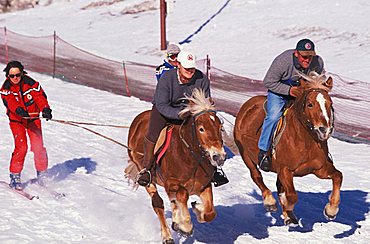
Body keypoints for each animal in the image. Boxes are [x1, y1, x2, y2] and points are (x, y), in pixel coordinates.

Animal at [125, 88, 225, 243]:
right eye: (201, 129)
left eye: (220, 128)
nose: (219, 157)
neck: (191, 158)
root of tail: (138, 119)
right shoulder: (172, 183)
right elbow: (182, 196)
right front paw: (185, 225)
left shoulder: (204, 185)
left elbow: (210, 213)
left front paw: (196, 209)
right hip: (147, 176)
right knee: (158, 204)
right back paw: (167, 236)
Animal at [230, 71, 342, 226]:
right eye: (310, 104)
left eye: (330, 104)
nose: (324, 130)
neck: (304, 141)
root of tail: (247, 105)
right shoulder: (285, 170)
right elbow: (292, 196)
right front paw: (287, 208)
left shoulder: (319, 168)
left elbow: (338, 176)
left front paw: (331, 210)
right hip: (245, 154)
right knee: (256, 175)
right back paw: (270, 202)